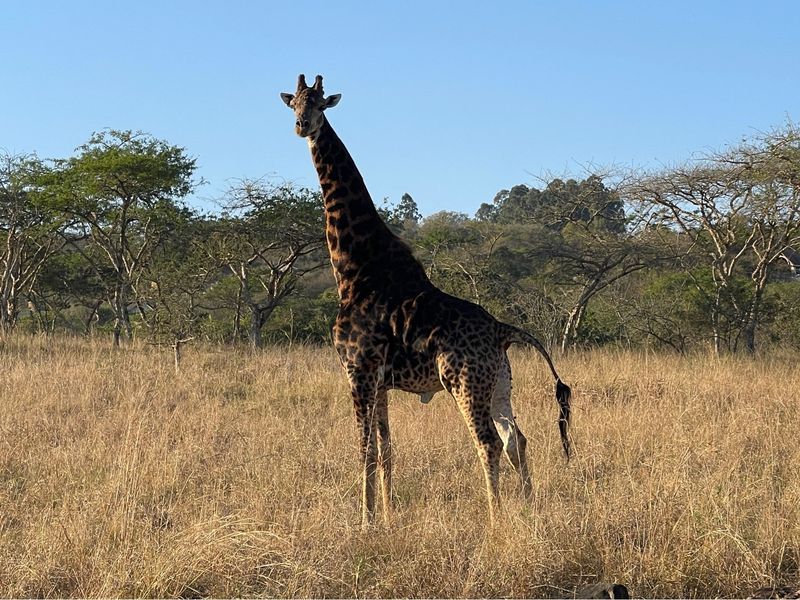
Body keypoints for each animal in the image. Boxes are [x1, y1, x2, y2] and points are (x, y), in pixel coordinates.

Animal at [280, 74, 571, 526]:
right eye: (293, 103)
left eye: (319, 104)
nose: (302, 125)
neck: (353, 267)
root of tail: (502, 330)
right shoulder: (380, 380)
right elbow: (386, 450)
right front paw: (387, 516)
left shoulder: (357, 369)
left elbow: (364, 450)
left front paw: (364, 522)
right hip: (500, 383)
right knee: (517, 440)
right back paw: (529, 508)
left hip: (464, 381)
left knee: (488, 443)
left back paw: (496, 521)